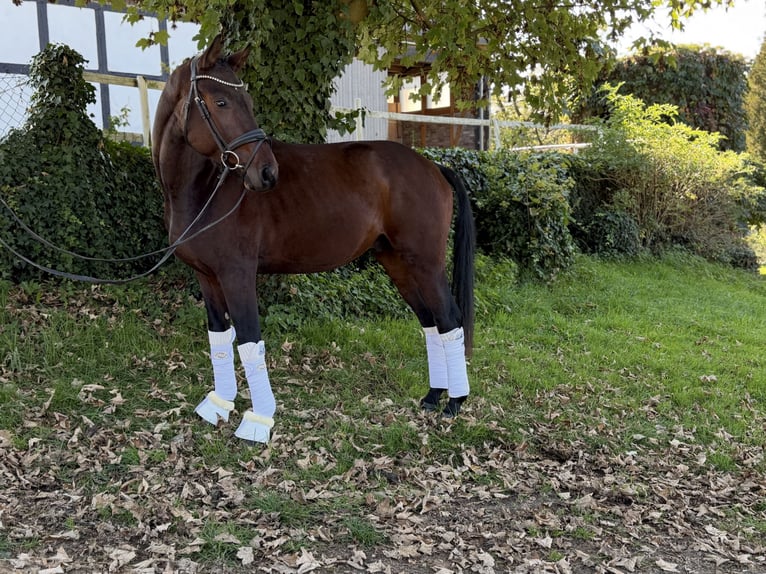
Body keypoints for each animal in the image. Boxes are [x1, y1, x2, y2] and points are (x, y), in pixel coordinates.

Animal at [151, 36, 475, 443]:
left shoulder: (237, 274)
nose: (267, 173)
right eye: (221, 102)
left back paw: (455, 403)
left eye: (248, 102)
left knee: (449, 320)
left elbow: (250, 341)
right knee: (430, 321)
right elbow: (220, 339)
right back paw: (434, 396)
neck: (204, 189)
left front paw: (258, 421)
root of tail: (433, 166)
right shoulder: (207, 277)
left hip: (425, 262)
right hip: (398, 263)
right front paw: (219, 404)